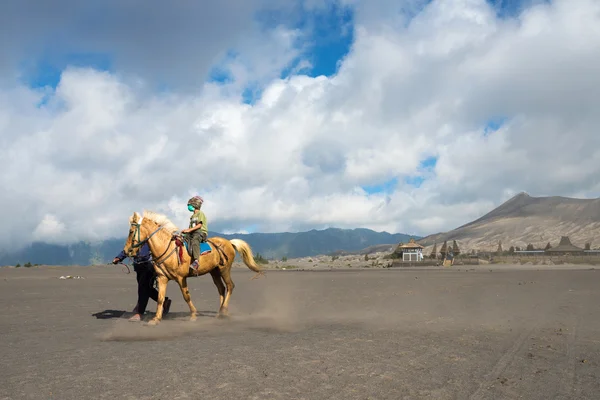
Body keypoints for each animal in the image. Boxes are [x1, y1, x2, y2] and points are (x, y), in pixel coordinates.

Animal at [123, 209, 264, 324]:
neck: (167, 248)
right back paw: (220, 313)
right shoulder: (162, 278)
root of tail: (229, 242)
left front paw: (193, 315)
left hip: (224, 269)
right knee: (221, 288)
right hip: (214, 272)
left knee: (230, 286)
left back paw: (223, 310)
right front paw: (156, 319)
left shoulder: (181, 278)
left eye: (131, 231)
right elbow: (160, 298)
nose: (127, 251)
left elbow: (186, 296)